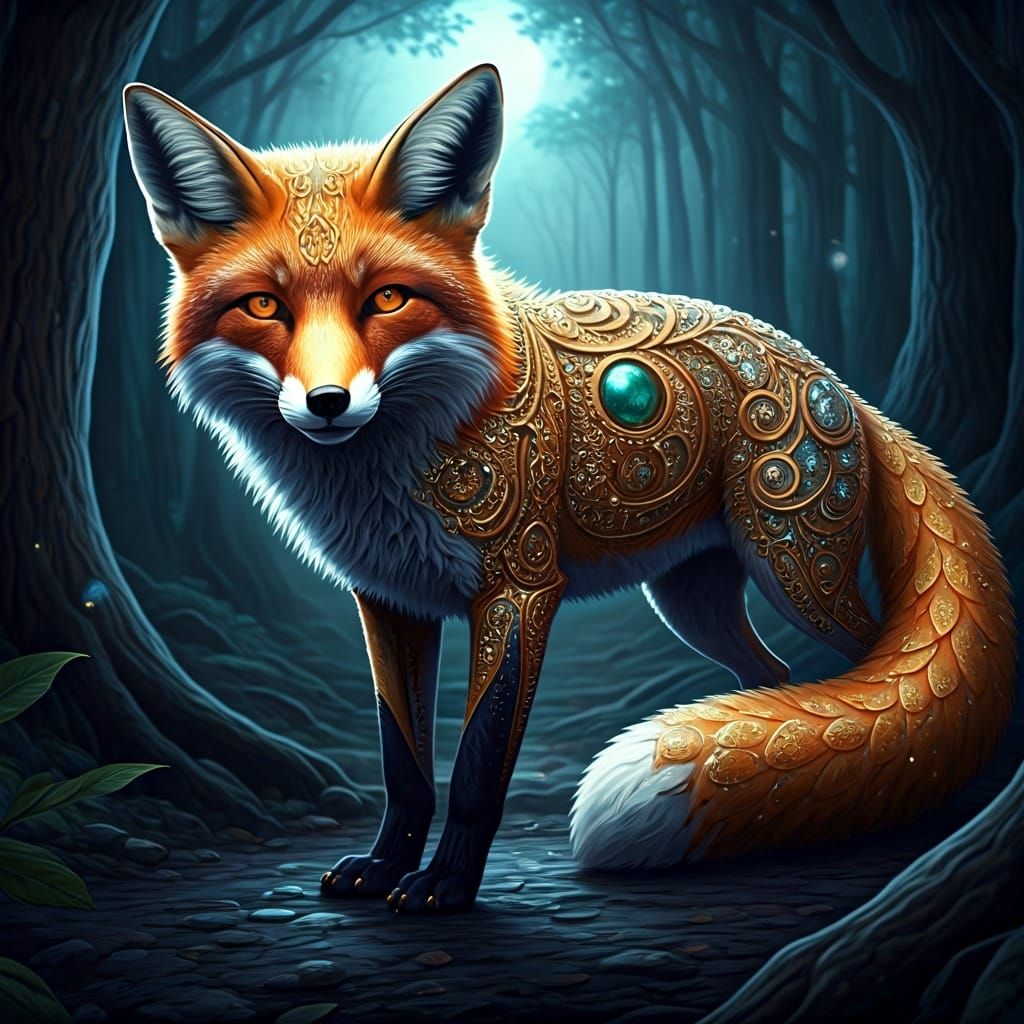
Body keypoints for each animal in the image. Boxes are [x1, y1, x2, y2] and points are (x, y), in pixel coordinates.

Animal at [123, 65, 1014, 914]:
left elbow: (477, 764)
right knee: (780, 684)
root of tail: (840, 384)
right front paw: (383, 868)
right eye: (264, 306)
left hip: (798, 572)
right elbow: (403, 765)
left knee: (877, 688)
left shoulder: (520, 586)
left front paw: (447, 887)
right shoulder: (389, 599)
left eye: (387, 298)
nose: (329, 403)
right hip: (693, 601)